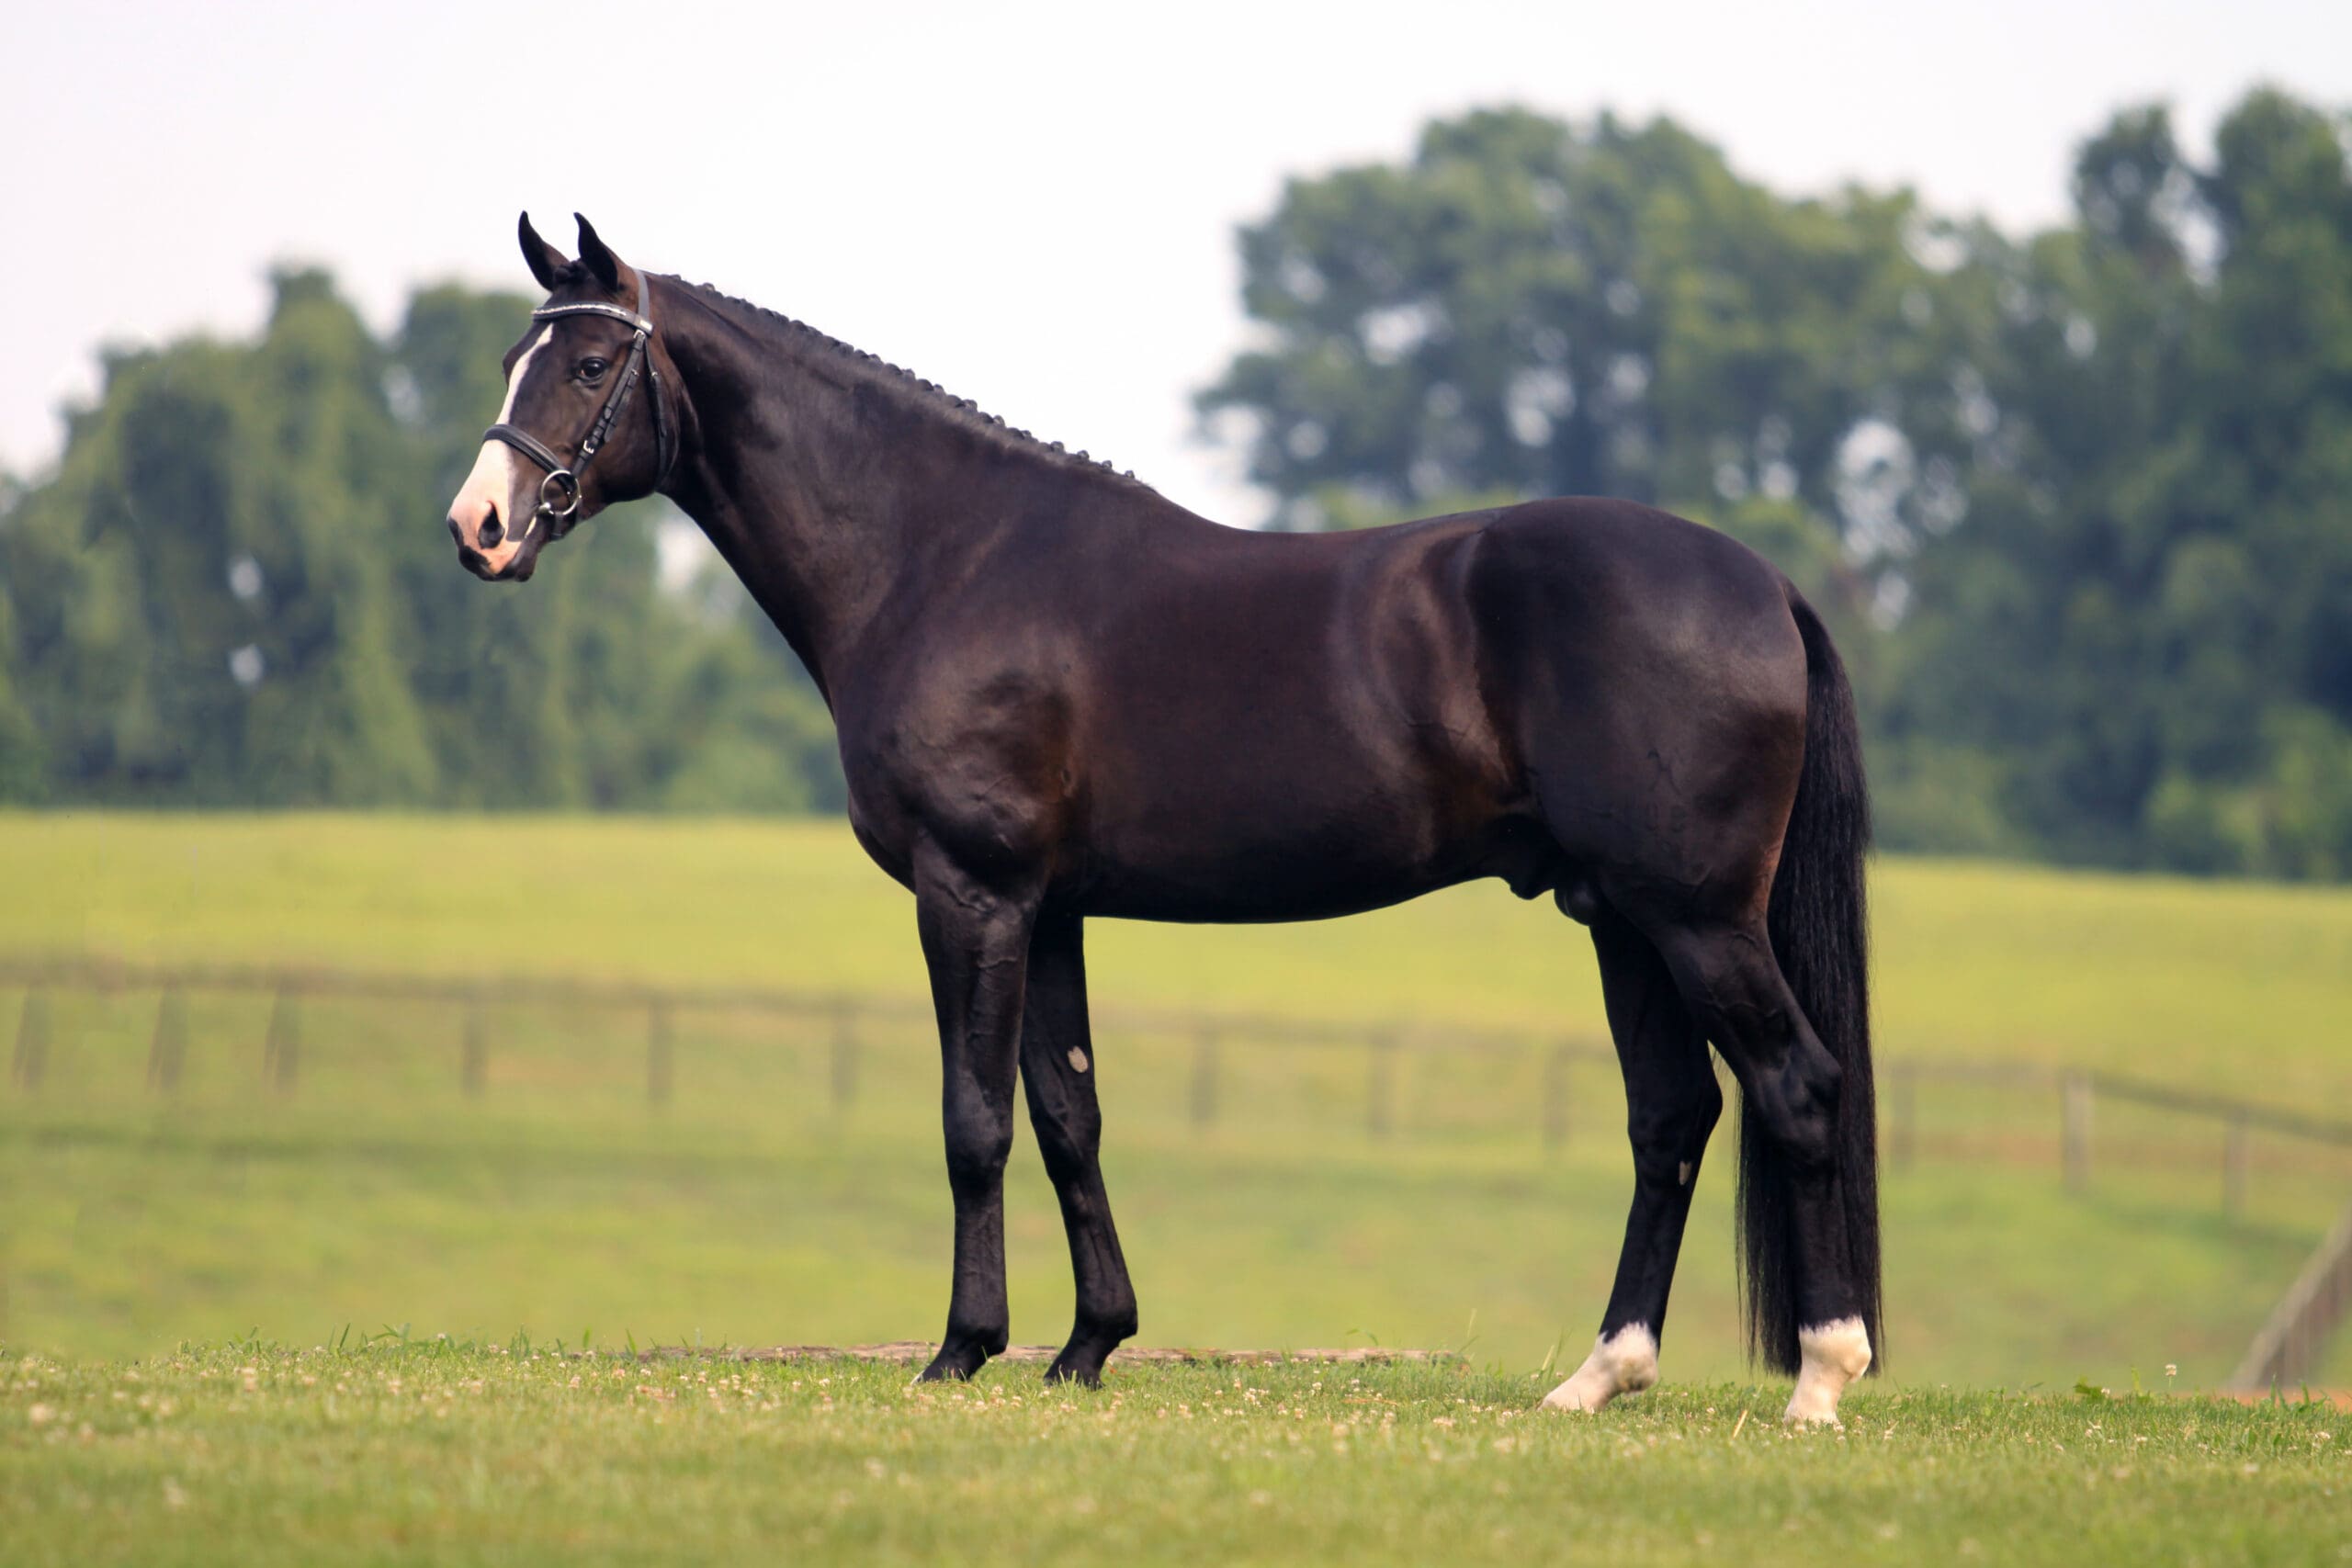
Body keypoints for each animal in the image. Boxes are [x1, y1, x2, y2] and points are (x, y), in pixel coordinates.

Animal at [445, 213, 1882, 1424]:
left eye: (586, 364)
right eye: (517, 359)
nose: (479, 528)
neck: (942, 556)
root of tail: (1765, 582)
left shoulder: (971, 891)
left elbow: (975, 1121)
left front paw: (962, 1348)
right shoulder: (1051, 908)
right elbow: (1067, 1115)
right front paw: (1088, 1346)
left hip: (1696, 918)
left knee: (1798, 1089)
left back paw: (1820, 1380)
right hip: (1621, 919)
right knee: (1672, 1120)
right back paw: (1599, 1377)